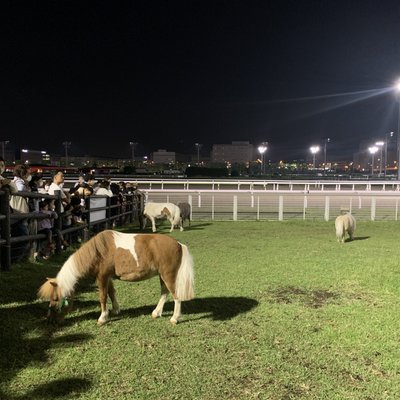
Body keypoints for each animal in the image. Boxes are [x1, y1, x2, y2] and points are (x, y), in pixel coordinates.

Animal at [38, 228, 195, 324]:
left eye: (55, 298)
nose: (49, 319)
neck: (98, 251)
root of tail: (178, 244)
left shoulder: (102, 277)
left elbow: (102, 296)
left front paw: (102, 317)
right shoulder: (107, 277)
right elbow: (111, 293)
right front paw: (115, 310)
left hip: (168, 275)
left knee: (175, 296)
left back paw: (174, 318)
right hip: (162, 275)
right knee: (164, 292)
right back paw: (156, 313)